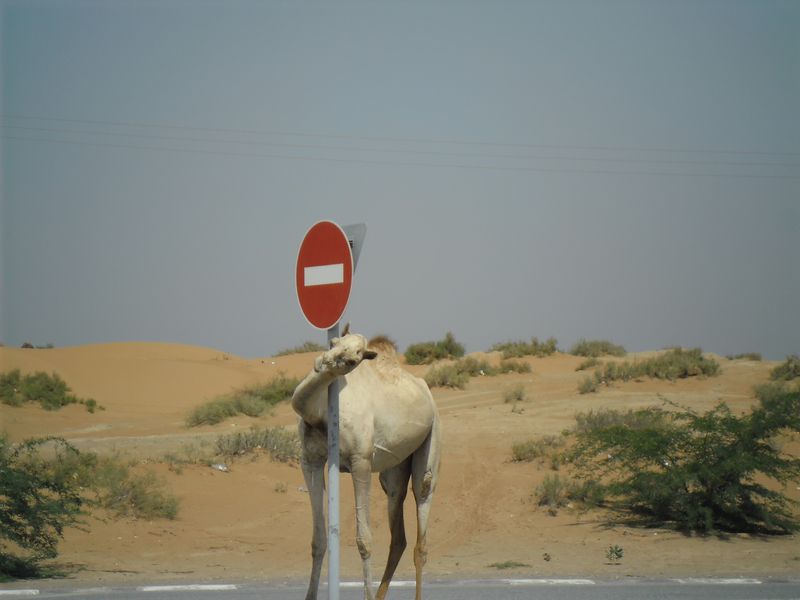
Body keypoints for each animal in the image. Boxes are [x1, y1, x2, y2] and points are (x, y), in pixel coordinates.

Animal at [291, 325, 442, 600]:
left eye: (356, 358)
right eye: (333, 342)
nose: (324, 361)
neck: (319, 412)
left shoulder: (360, 460)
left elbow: (364, 540)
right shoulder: (310, 460)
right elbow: (319, 539)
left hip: (433, 436)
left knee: (422, 523)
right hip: (393, 471)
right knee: (398, 534)